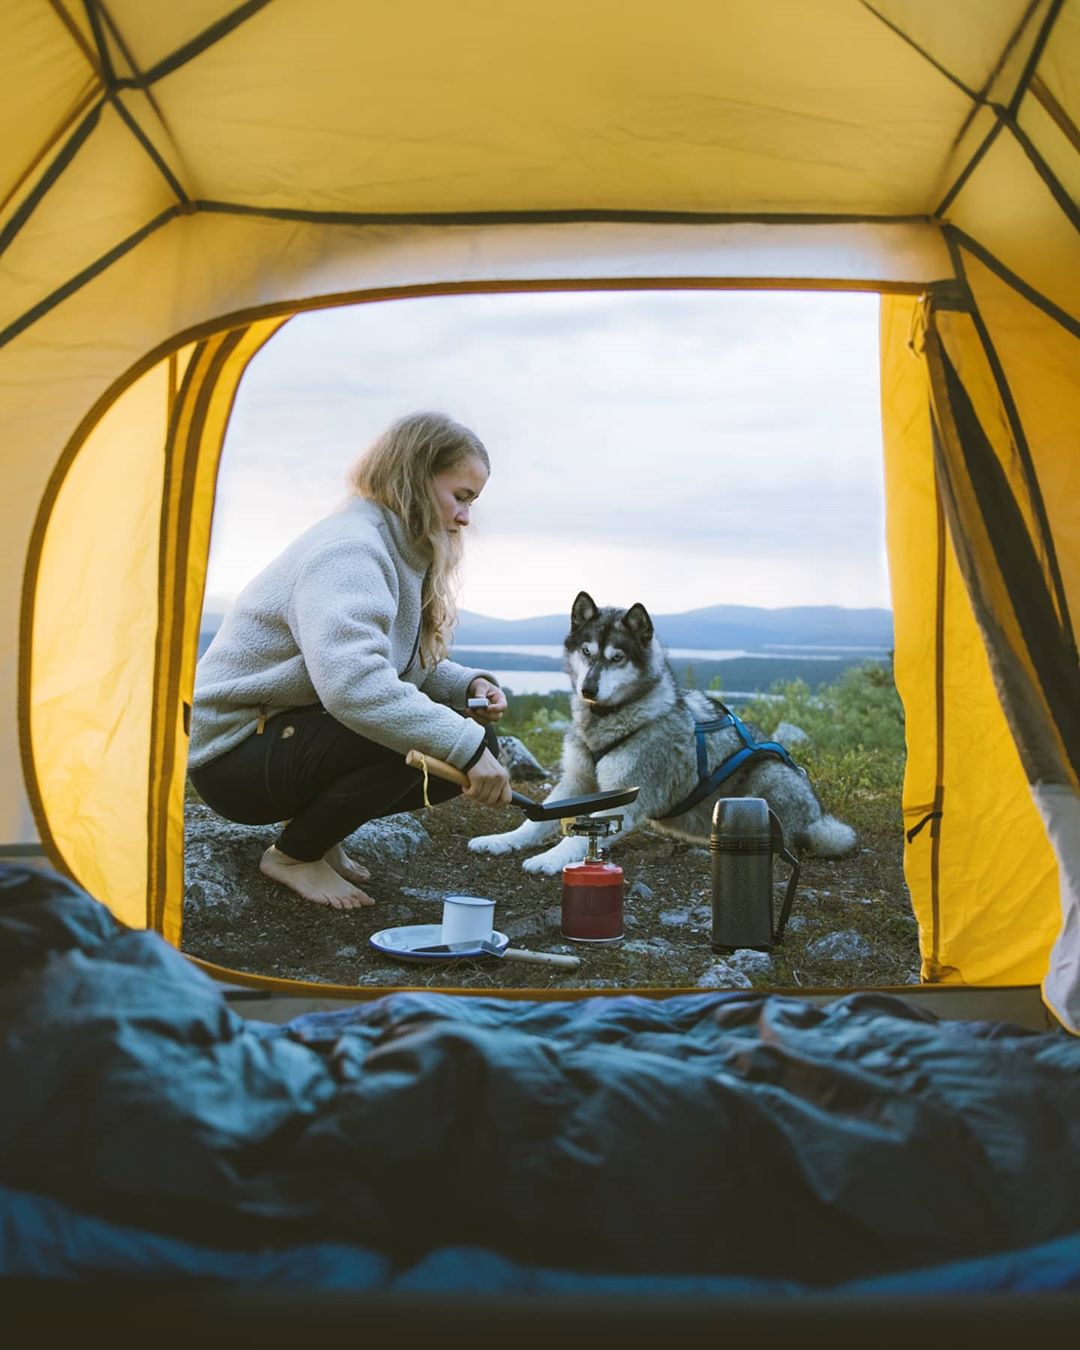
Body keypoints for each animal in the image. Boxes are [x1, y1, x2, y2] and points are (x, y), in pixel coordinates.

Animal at [467, 594, 858, 874]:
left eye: (617, 657)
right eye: (586, 652)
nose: (588, 689)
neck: (610, 720)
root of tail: (816, 817)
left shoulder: (625, 796)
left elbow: (583, 835)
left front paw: (551, 858)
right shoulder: (576, 782)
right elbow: (534, 822)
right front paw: (504, 840)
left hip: (768, 776)